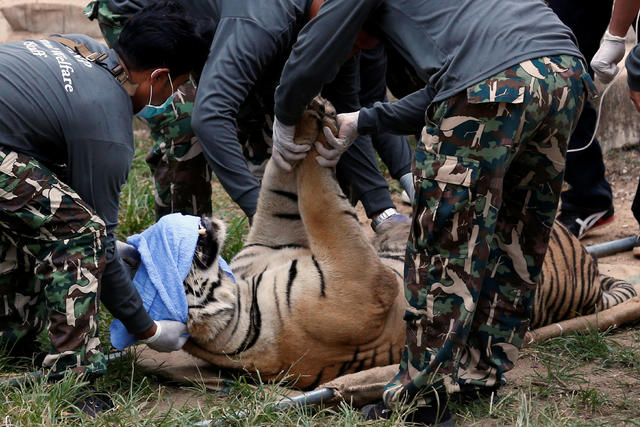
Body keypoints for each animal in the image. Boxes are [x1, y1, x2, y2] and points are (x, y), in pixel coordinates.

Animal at [180, 97, 636, 392]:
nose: (197, 220)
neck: (242, 295)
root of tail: (591, 270)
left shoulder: (271, 238)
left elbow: (284, 179)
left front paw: (308, 119)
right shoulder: (360, 284)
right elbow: (321, 199)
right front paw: (323, 129)